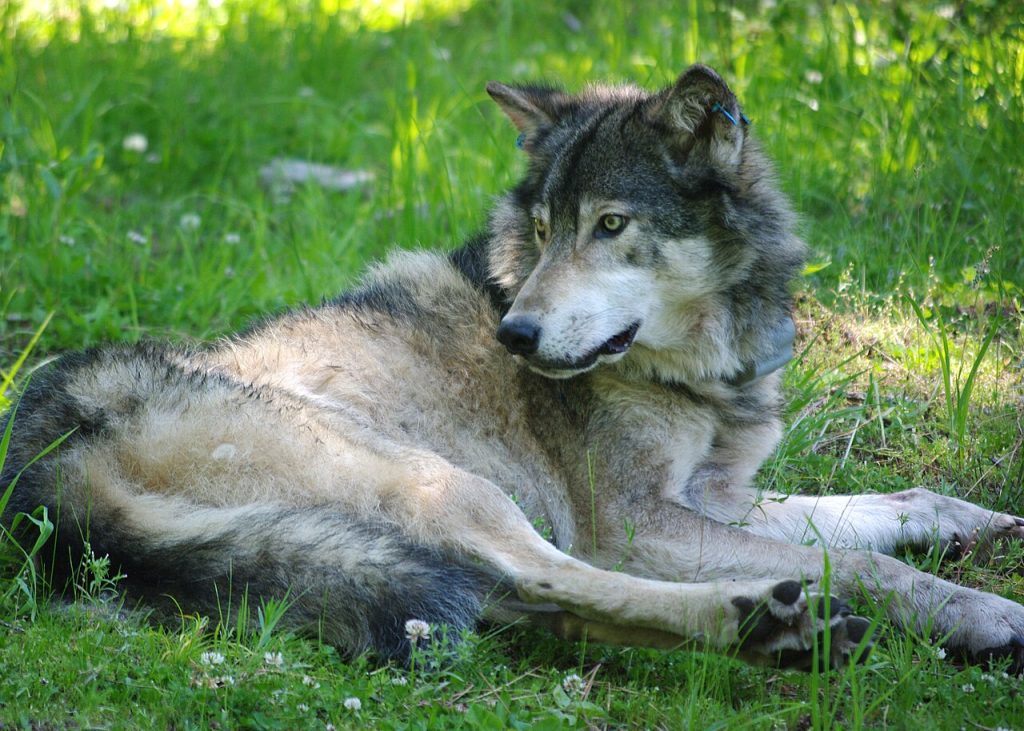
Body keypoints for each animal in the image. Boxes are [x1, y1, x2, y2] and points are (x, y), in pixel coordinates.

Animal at [3, 64, 1023, 670]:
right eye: (543, 228)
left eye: (610, 225)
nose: (516, 335)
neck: (699, 370)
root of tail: (41, 460)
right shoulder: (637, 522)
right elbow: (865, 564)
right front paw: (981, 612)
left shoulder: (718, 497)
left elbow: (882, 511)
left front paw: (975, 521)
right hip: (451, 485)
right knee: (543, 575)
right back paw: (758, 620)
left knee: (526, 606)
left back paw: (767, 630)